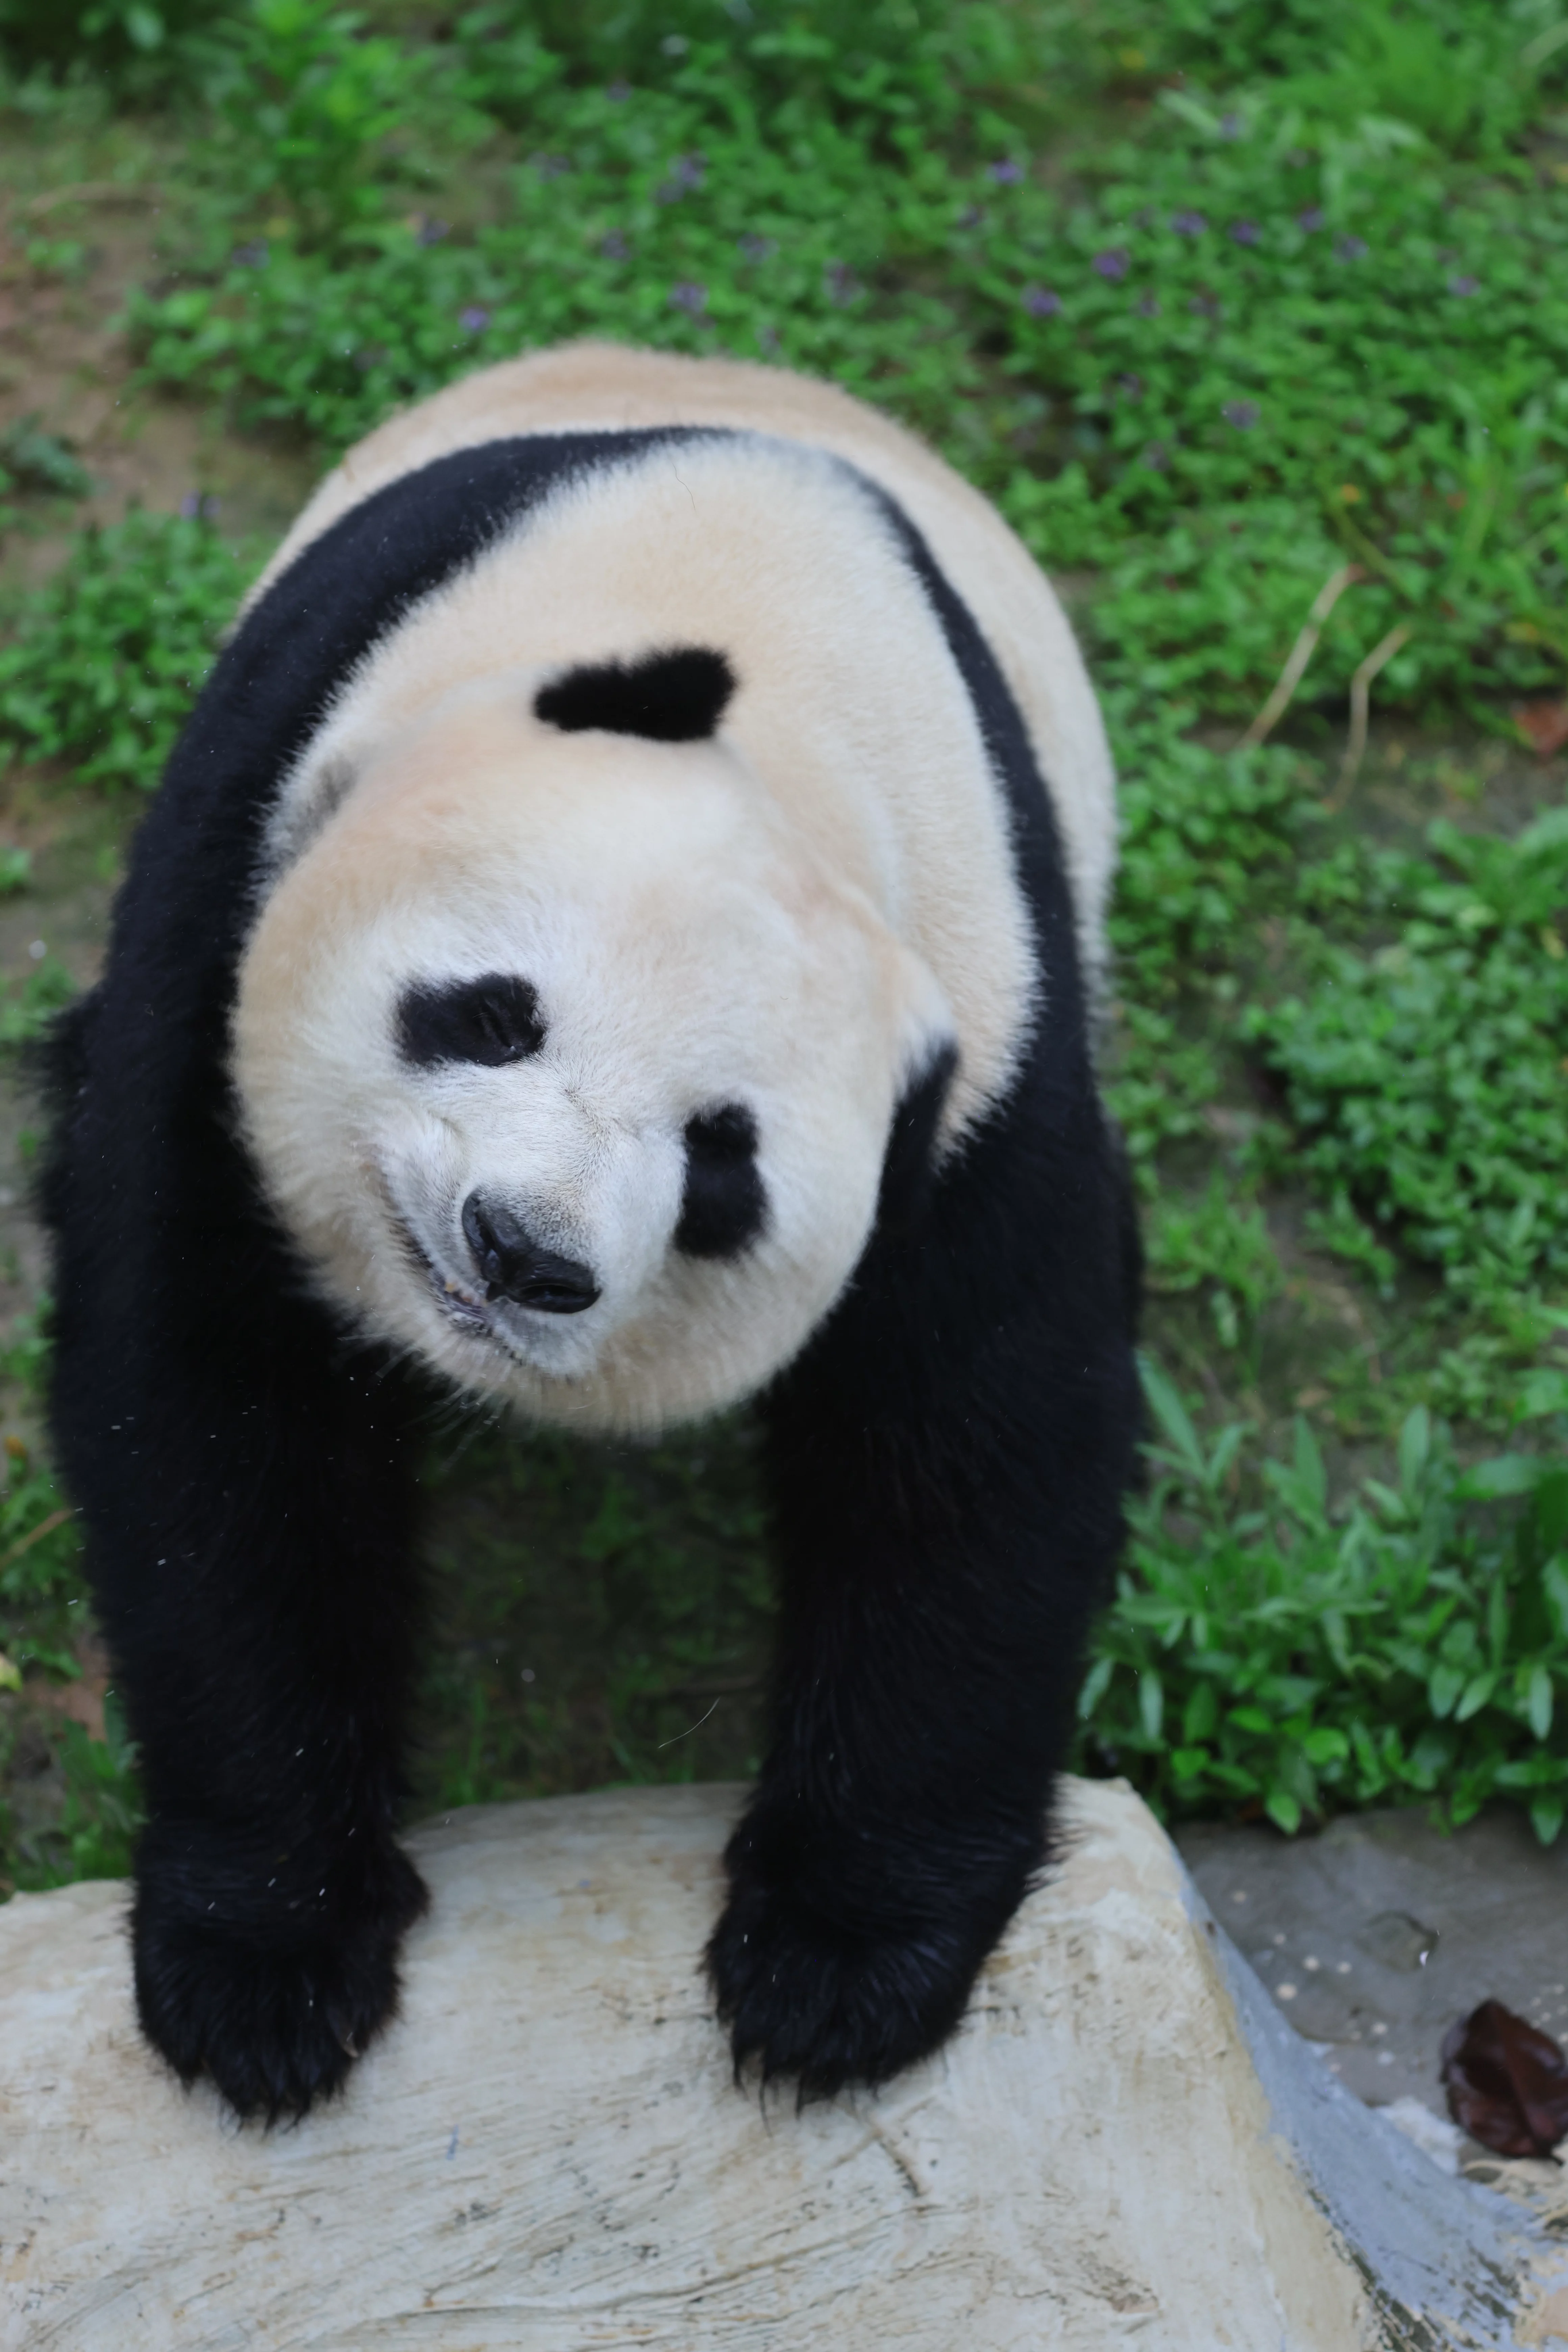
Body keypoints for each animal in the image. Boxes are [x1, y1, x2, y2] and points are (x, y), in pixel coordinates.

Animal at [40, 343, 1141, 2123]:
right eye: (491, 1010)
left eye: (720, 1169)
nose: (518, 1250)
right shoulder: (236, 882)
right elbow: (211, 1411)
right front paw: (266, 1966)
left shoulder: (986, 1059)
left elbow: (974, 1454)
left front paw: (834, 1967)